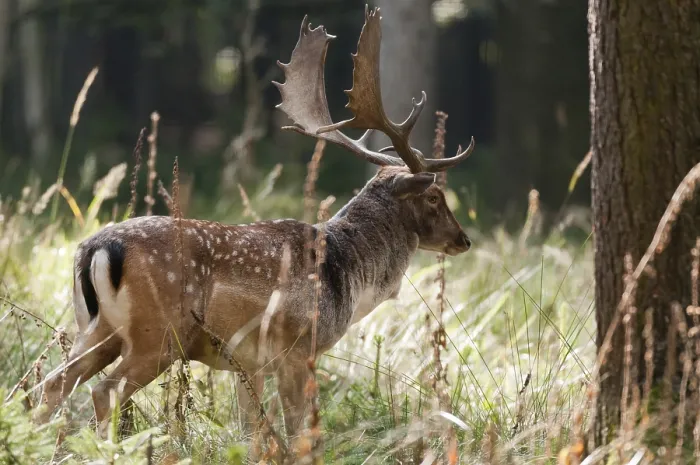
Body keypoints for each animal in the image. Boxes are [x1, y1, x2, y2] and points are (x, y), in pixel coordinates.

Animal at [35, 5, 475, 446]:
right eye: (434, 197)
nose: (464, 240)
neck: (346, 274)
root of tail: (94, 250)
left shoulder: (249, 363)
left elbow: (251, 432)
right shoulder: (296, 349)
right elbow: (297, 427)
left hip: (95, 328)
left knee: (52, 384)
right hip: (157, 333)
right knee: (104, 391)